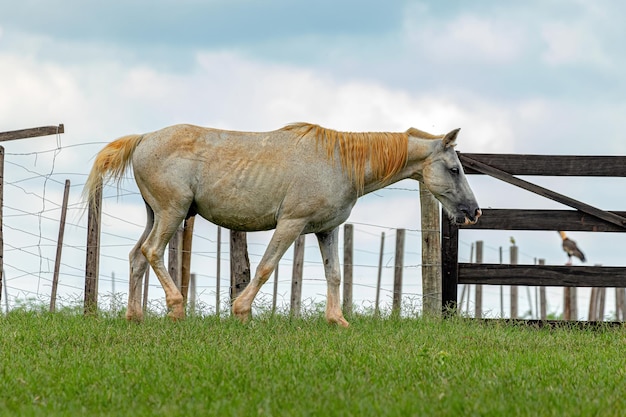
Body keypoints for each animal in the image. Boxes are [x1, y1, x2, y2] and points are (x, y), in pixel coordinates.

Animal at [84, 120, 478, 324]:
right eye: (455, 169)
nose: (474, 211)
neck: (339, 162)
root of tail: (143, 139)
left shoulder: (326, 230)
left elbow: (335, 274)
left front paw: (338, 321)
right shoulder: (291, 224)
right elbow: (265, 268)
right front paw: (241, 312)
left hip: (157, 214)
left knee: (137, 257)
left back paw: (134, 316)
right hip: (172, 213)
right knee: (152, 252)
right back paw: (176, 308)